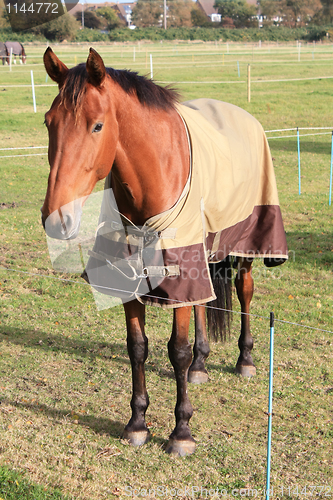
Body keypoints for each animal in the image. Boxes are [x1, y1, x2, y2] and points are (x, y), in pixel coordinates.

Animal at [41, 47, 286, 458]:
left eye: (97, 126)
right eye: (48, 123)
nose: (57, 218)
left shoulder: (181, 271)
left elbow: (177, 350)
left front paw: (181, 431)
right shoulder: (131, 280)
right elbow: (137, 347)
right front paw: (137, 423)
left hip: (246, 243)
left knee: (245, 291)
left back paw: (246, 358)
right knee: (204, 303)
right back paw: (202, 364)